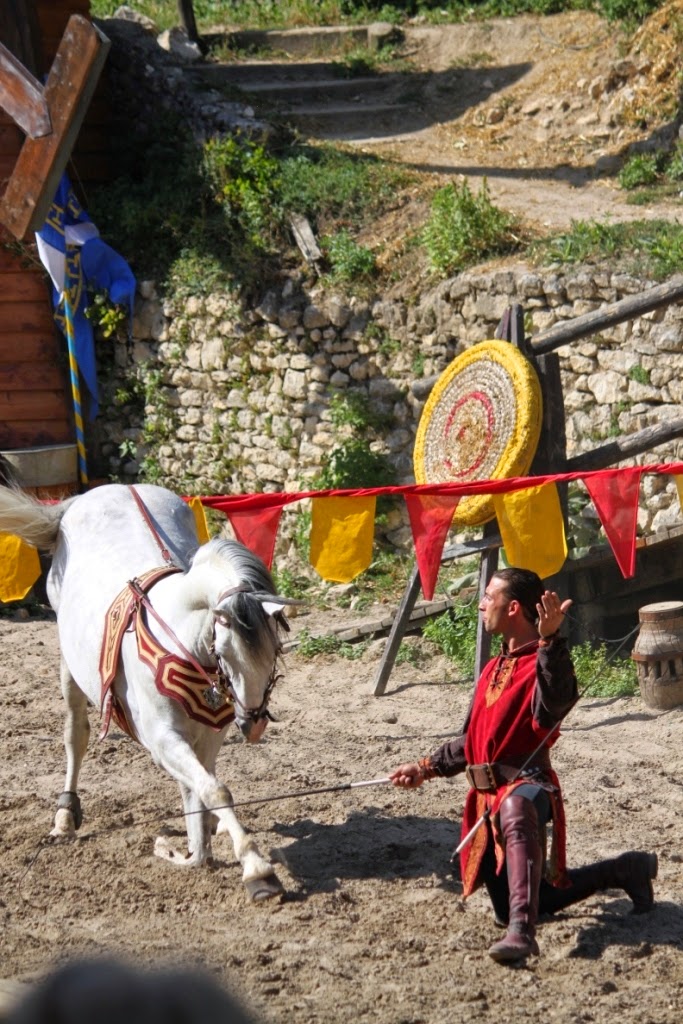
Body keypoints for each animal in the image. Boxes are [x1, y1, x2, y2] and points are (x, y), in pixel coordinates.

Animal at [0, 483, 299, 901]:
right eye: (225, 651)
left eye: (274, 652)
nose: (253, 725)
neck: (180, 639)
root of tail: (88, 496)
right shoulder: (162, 739)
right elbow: (215, 791)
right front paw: (257, 870)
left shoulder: (208, 736)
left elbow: (203, 790)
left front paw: (203, 839)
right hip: (68, 665)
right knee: (76, 735)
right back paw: (64, 817)